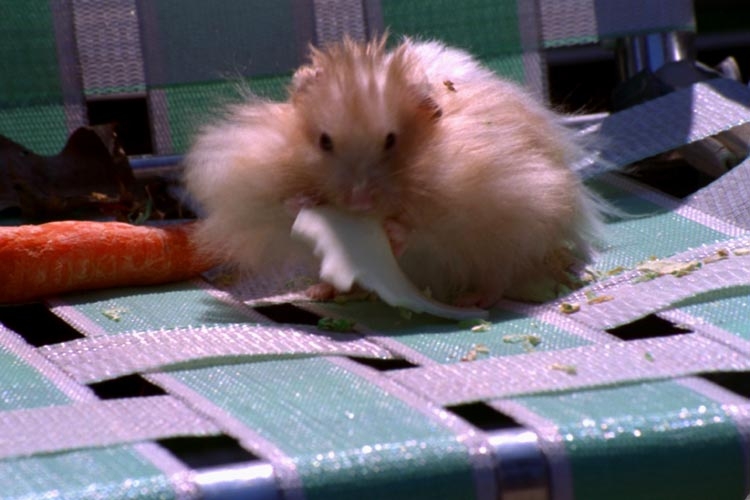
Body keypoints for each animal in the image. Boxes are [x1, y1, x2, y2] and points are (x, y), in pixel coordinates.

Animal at [183, 36, 602, 307]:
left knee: (498, 275)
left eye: (391, 140)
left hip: (517, 232)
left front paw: (392, 232)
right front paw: (303, 202)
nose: (358, 202)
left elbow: (424, 227)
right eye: (324, 141)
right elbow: (282, 205)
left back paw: (472, 300)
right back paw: (318, 292)